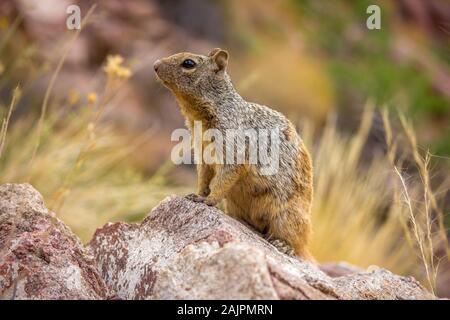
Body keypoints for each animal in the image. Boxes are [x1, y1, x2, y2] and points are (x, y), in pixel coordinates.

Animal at [154, 48, 312, 260]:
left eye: (188, 63)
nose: (155, 64)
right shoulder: (203, 155)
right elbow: (203, 178)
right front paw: (196, 195)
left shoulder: (233, 149)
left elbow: (225, 177)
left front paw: (208, 200)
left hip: (287, 216)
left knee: (297, 243)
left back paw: (284, 245)